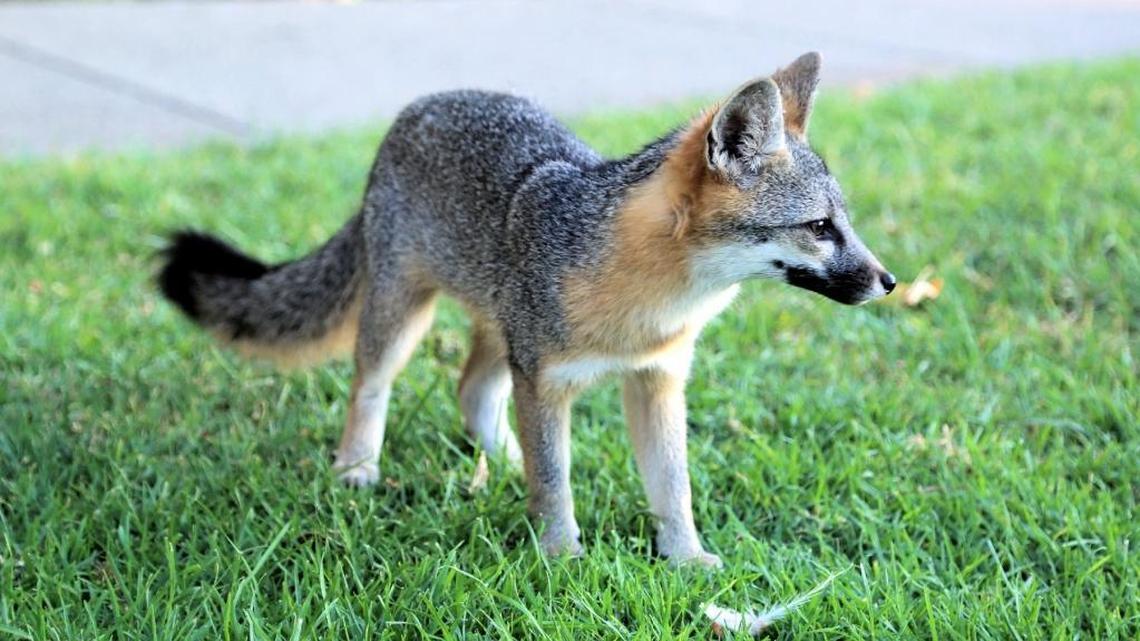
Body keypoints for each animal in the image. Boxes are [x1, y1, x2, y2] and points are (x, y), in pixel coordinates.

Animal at [158, 52, 894, 567]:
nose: (888, 281)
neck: (644, 304)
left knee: (472, 391)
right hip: (406, 320)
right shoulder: (545, 378)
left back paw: (505, 460)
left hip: (498, 331)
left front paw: (686, 559)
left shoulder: (655, 379)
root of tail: (419, 106)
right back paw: (358, 467)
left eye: (845, 224)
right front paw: (562, 556)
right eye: (820, 227)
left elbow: (671, 487)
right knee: (371, 385)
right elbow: (557, 481)